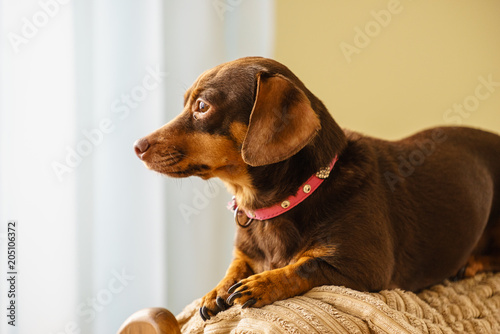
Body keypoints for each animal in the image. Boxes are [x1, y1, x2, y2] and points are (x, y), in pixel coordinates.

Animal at [133, 56, 500, 320]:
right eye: (186, 103)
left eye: (202, 106)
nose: (137, 146)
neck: (280, 203)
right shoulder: (245, 253)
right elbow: (235, 266)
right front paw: (217, 290)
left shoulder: (363, 270)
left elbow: (305, 264)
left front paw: (263, 283)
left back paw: (474, 263)